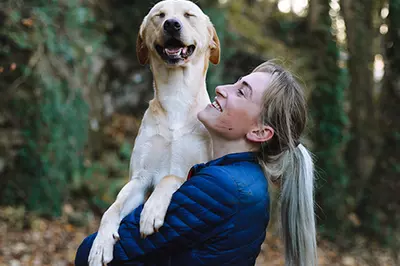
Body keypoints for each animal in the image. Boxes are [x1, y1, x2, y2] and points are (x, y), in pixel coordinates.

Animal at [87, 1, 220, 264]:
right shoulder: (139, 179)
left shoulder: (197, 171)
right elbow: (112, 209)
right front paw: (100, 244)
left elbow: (171, 177)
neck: (176, 97)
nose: (172, 24)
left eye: (189, 15)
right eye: (159, 15)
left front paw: (151, 211)